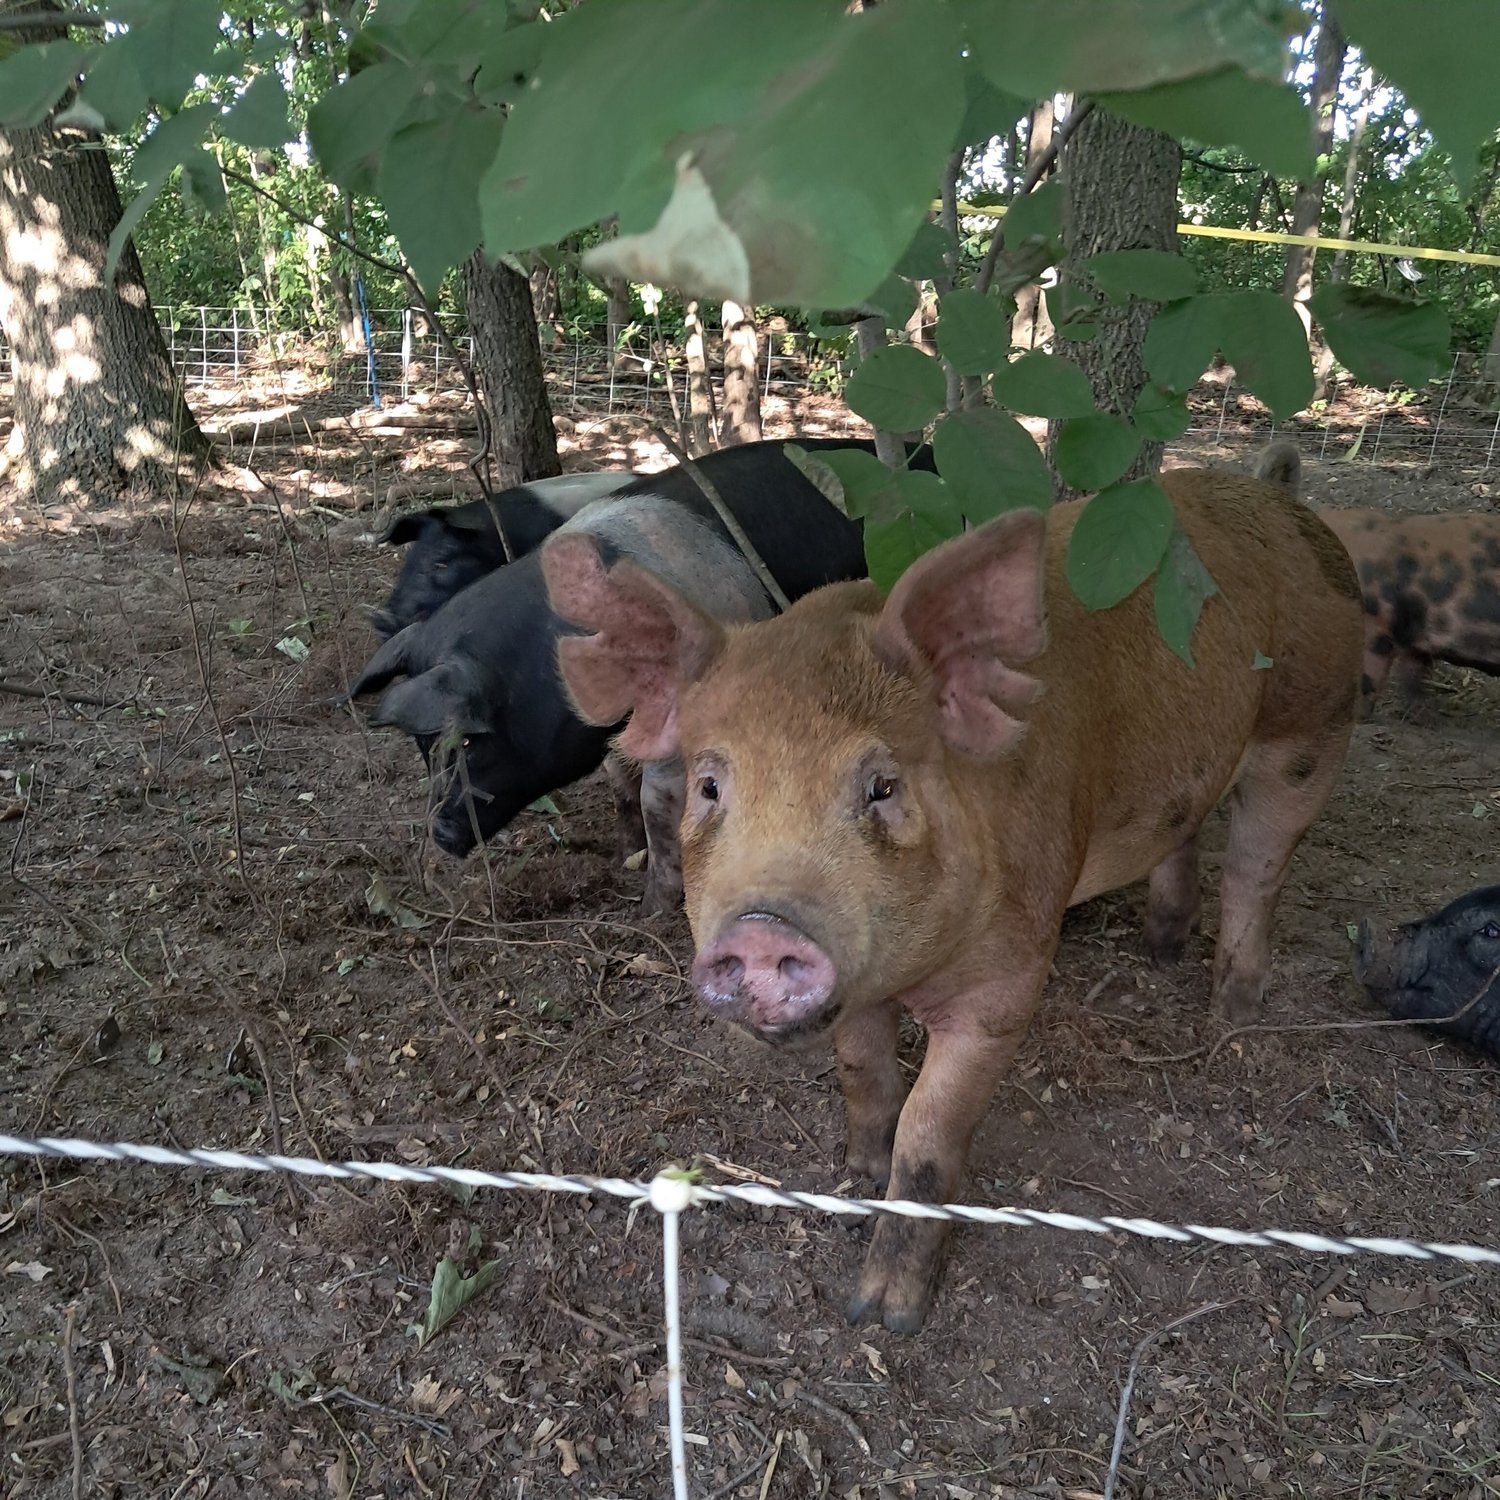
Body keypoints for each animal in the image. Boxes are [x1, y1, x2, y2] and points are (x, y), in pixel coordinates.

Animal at [542, 467, 1363, 1331]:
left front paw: (882, 1313)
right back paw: (1162, 951)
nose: (764, 928)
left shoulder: (1009, 976)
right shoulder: (858, 985)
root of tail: (1281, 498)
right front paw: (858, 1173)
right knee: (1189, 828)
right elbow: (863, 1070)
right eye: (709, 785)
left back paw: (1229, 1013)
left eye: (882, 785)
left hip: (1313, 722)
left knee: (1258, 866)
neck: (908, 974)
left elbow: (930, 1132)